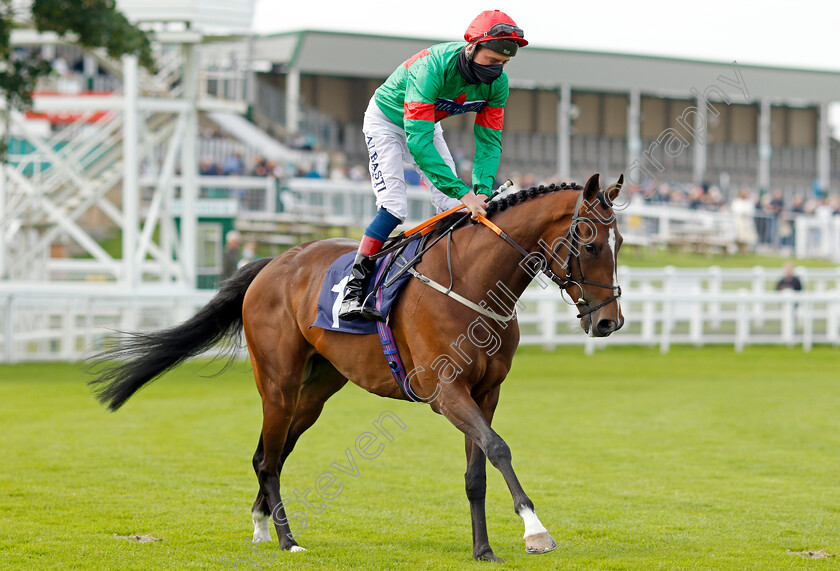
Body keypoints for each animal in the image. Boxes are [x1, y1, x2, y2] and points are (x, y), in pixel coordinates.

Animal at [90, 172, 624, 560]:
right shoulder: (445, 391)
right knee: (268, 458)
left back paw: (263, 524)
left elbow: (479, 469)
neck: (473, 285)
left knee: (272, 453)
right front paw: (535, 529)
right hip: (278, 382)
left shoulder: (484, 393)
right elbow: (498, 448)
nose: (609, 322)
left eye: (619, 245)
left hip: (316, 391)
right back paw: (287, 539)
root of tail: (272, 263)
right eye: (591, 243)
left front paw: (483, 549)